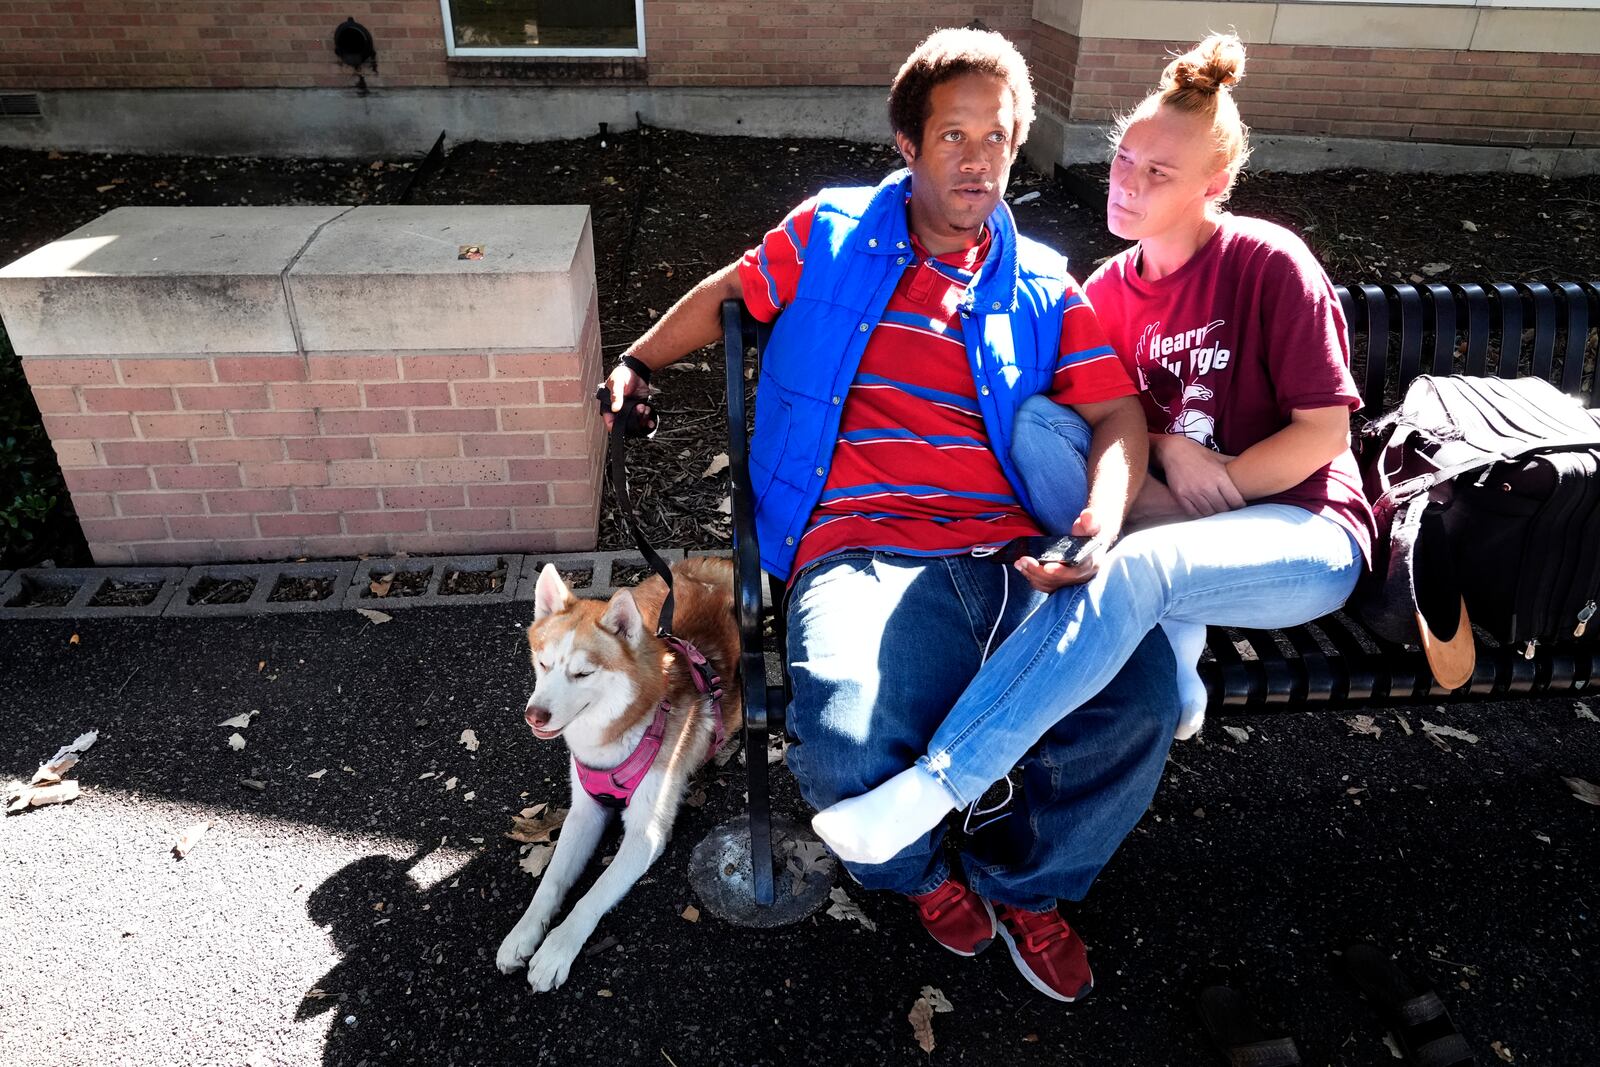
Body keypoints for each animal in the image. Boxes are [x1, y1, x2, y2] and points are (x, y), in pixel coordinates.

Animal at [496, 559, 739, 991]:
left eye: (583, 674)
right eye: (543, 664)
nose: (534, 715)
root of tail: (709, 566)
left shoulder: (646, 835)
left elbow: (592, 895)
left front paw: (557, 950)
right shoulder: (584, 814)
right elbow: (551, 882)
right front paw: (523, 933)